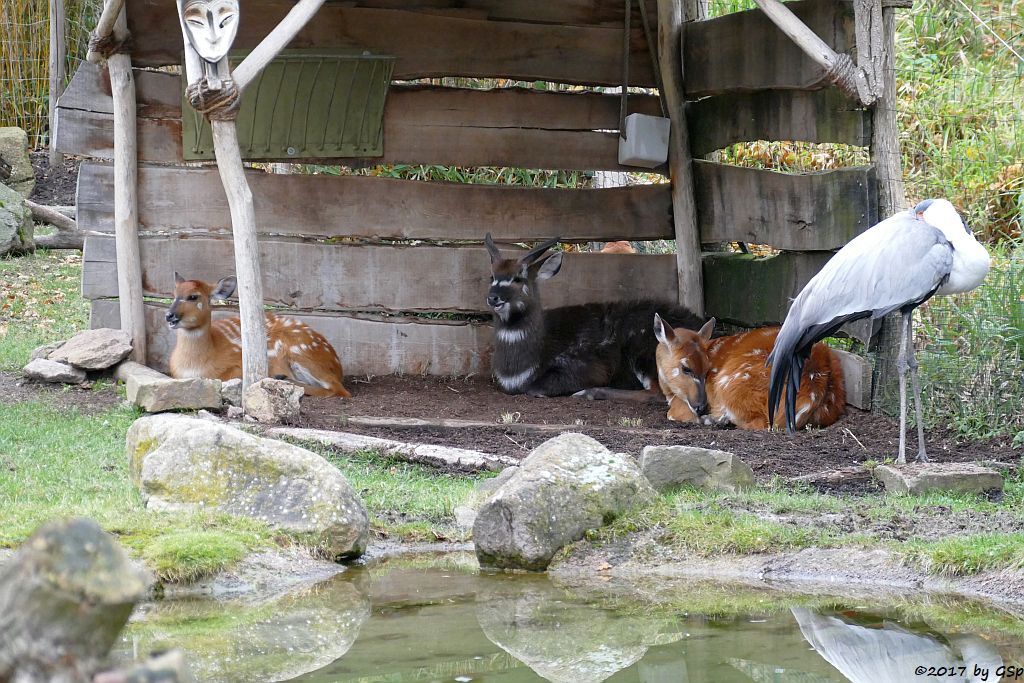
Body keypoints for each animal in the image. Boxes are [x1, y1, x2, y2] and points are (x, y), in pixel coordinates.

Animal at [166, 274, 352, 397]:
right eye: (174, 295)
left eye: (193, 296)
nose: (169, 315)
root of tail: (337, 365)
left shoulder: (239, 365)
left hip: (301, 351)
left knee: (339, 389)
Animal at [485, 235, 708, 401]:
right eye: (492, 277)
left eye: (518, 278)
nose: (493, 297)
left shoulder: (588, 368)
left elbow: (536, 388)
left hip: (644, 352)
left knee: (657, 394)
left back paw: (588, 393)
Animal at [651, 317, 843, 430]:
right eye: (686, 368)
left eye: (707, 369)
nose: (702, 406)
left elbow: (672, 414)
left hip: (730, 384)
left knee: (759, 423)